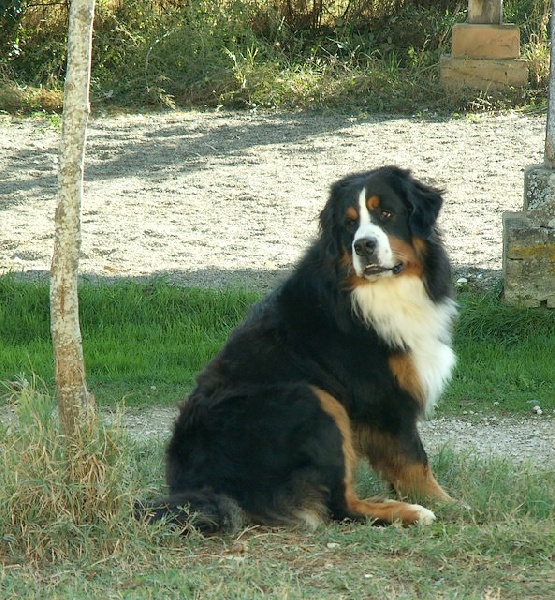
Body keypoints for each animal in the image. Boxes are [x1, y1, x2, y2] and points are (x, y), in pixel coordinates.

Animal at [141, 166, 458, 532]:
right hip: (314, 397)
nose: (363, 245)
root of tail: (202, 487)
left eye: (387, 213)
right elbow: (414, 460)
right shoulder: (384, 398)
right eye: (349, 223)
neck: (382, 291)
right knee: (340, 505)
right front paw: (446, 504)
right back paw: (409, 512)